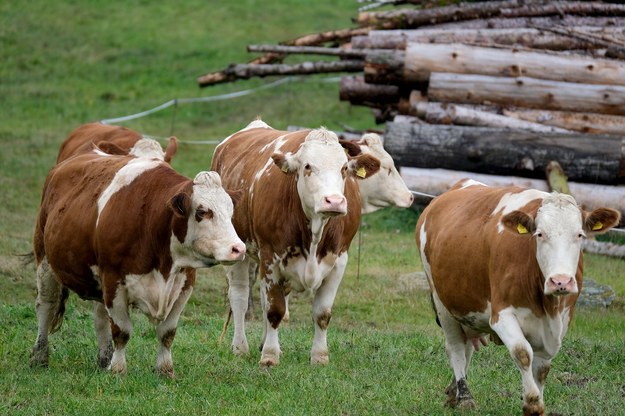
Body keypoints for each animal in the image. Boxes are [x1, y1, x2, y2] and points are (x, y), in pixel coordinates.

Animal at [31, 150, 245, 376]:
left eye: (231, 212)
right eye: (202, 212)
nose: (238, 249)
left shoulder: (184, 284)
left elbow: (167, 332)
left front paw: (165, 369)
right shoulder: (113, 280)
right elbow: (122, 331)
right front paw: (118, 370)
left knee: (100, 317)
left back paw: (104, 359)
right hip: (45, 260)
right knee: (46, 305)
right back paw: (39, 356)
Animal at [211, 118, 380, 366]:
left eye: (343, 168)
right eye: (308, 166)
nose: (334, 201)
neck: (315, 233)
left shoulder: (339, 260)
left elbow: (322, 313)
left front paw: (319, 356)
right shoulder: (270, 256)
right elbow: (274, 310)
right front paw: (269, 356)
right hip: (238, 251)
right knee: (240, 296)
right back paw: (240, 347)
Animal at [414, 179, 620, 416]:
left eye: (579, 235)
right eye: (539, 234)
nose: (560, 281)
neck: (547, 306)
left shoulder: (561, 321)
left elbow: (542, 368)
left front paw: (537, 401)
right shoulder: (501, 315)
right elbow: (523, 353)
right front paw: (532, 402)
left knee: (467, 348)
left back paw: (453, 393)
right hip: (442, 302)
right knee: (456, 348)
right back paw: (464, 397)